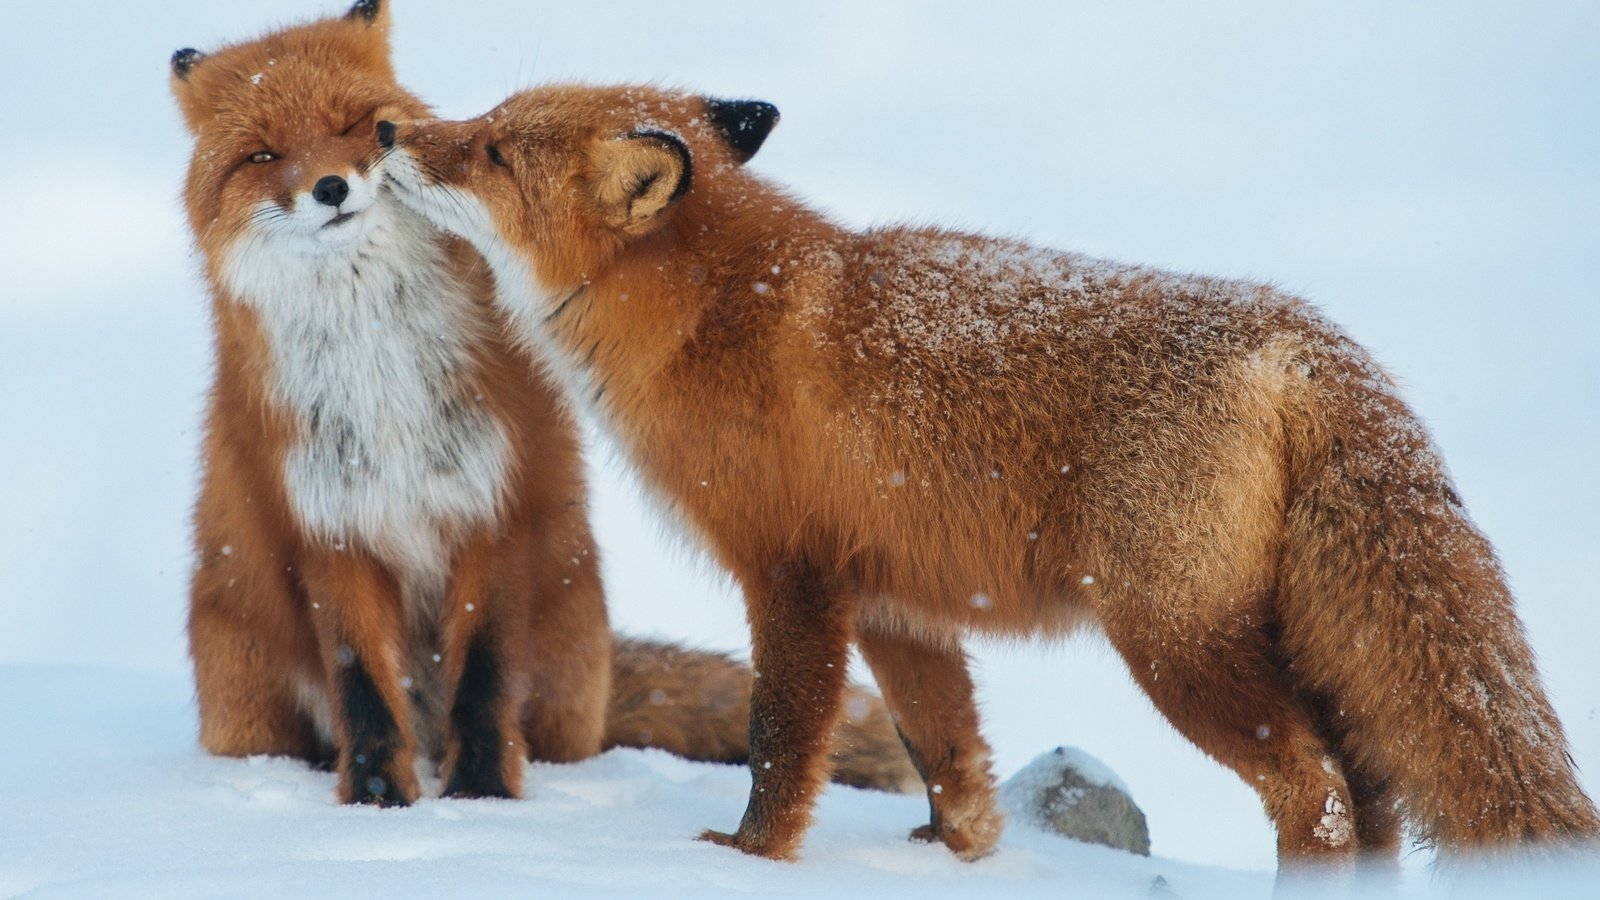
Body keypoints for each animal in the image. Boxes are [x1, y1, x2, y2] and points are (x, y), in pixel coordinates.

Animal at [168, 1, 921, 807]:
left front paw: (482, 799)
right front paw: (380, 805)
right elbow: (363, 688)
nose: (332, 188)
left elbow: (484, 676)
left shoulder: (497, 502)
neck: (381, 369)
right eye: (262, 155)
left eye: (355, 123)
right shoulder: (331, 527)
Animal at [377, 85, 1600, 871]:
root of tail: (1300, 337)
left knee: (1323, 796)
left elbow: (783, 742)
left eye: (492, 150)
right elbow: (946, 755)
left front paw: (747, 858)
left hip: (1175, 646)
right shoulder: (896, 602)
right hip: (1286, 641)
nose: (389, 129)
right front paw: (953, 857)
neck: (716, 313)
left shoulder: (792, 576)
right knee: (1374, 792)